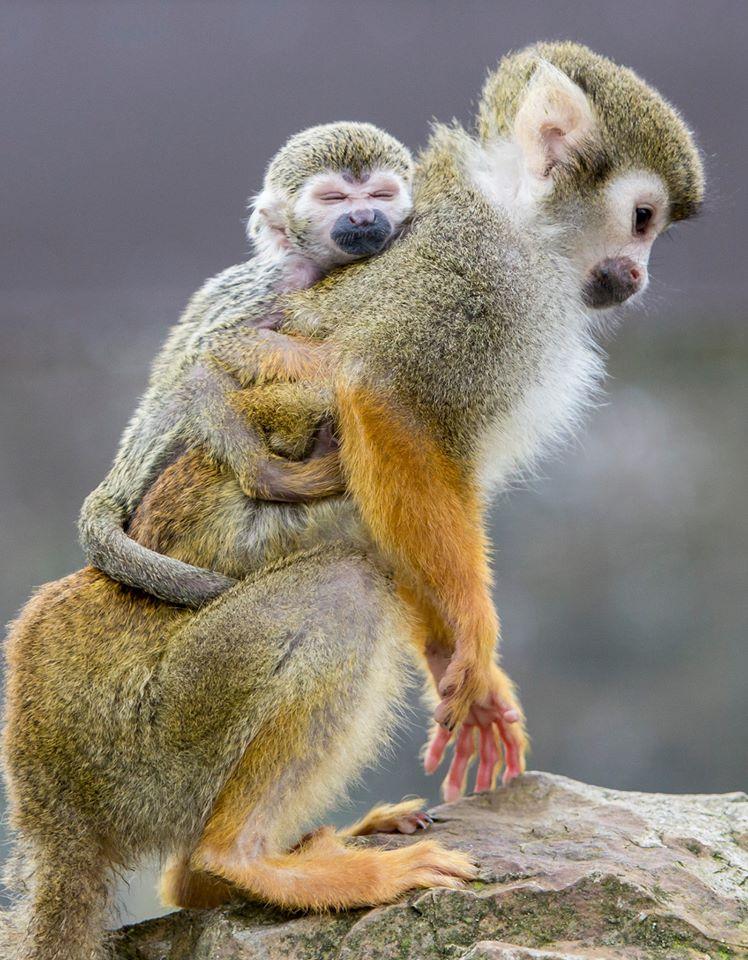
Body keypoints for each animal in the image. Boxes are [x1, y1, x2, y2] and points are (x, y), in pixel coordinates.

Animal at [78, 121, 414, 607]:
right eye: (335, 199)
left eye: (380, 194)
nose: (364, 217)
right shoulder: (283, 279)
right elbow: (218, 343)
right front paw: (336, 361)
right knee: (197, 373)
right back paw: (269, 477)